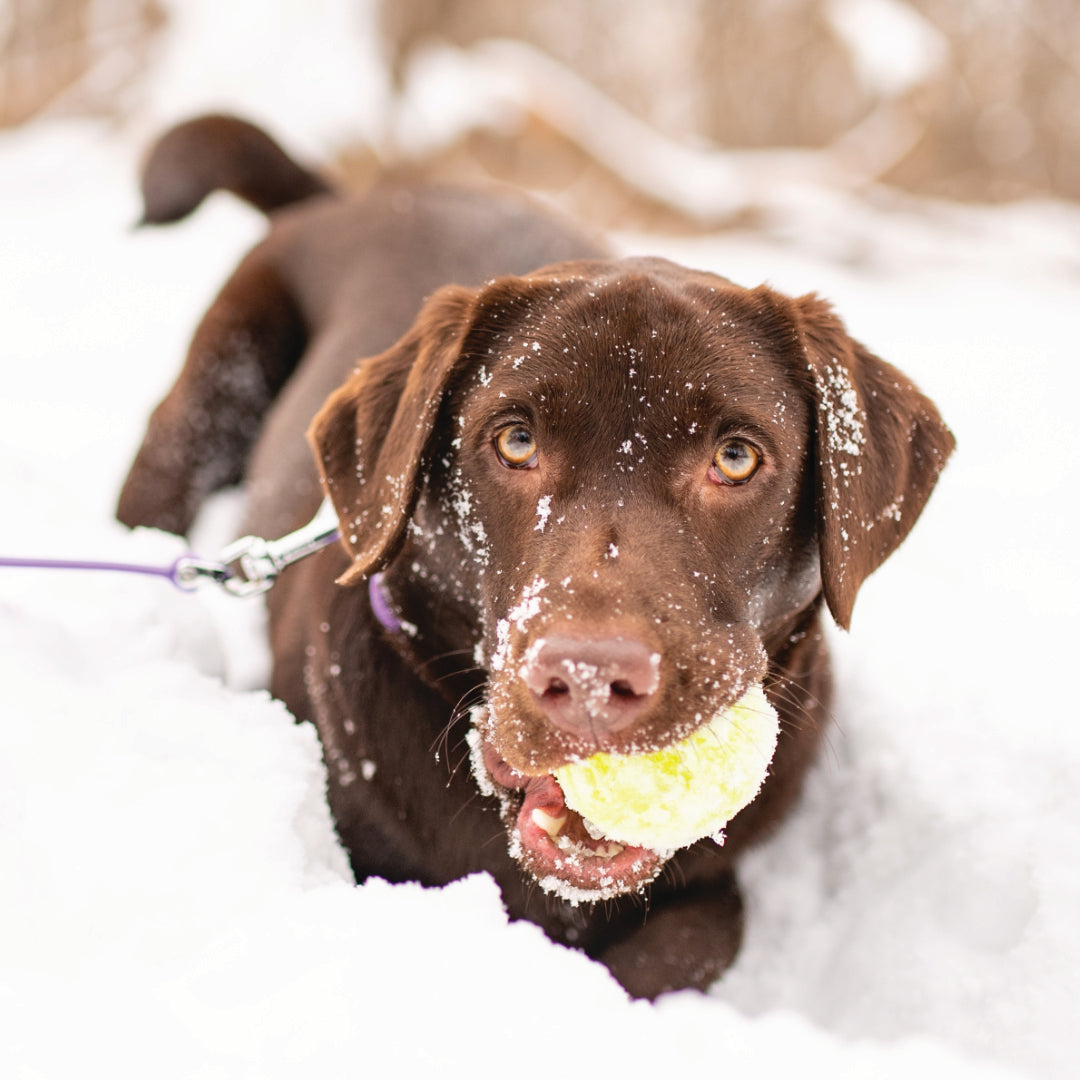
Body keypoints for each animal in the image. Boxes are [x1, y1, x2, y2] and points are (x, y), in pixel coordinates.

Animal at [118, 113, 954, 997]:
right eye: (515, 442)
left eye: (735, 457)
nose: (588, 677)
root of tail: (349, 195)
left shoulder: (713, 890)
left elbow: (693, 937)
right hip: (213, 386)